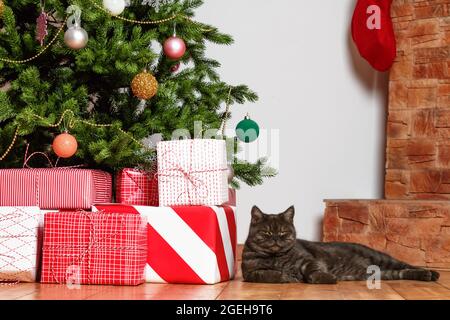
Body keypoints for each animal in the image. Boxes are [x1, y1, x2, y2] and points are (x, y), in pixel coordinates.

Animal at [243, 206, 440, 284]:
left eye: (284, 232)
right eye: (267, 232)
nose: (277, 239)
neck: (276, 258)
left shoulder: (309, 260)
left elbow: (312, 272)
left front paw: (325, 278)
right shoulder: (250, 273)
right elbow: (268, 274)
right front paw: (286, 276)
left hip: (383, 259)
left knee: (406, 264)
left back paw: (432, 273)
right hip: (383, 273)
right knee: (401, 272)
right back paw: (426, 276)